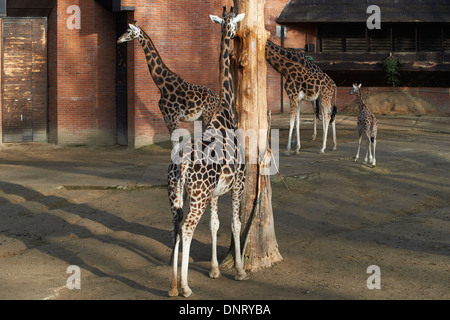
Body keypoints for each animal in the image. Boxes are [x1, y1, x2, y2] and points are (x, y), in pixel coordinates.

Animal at [168, 6, 248, 298]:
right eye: (233, 23)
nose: (235, 34)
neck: (226, 110)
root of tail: (181, 164)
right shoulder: (239, 182)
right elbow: (235, 223)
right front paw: (240, 271)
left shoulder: (215, 192)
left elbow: (215, 225)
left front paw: (214, 270)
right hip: (198, 195)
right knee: (188, 227)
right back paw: (185, 286)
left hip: (178, 193)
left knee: (176, 225)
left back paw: (173, 286)